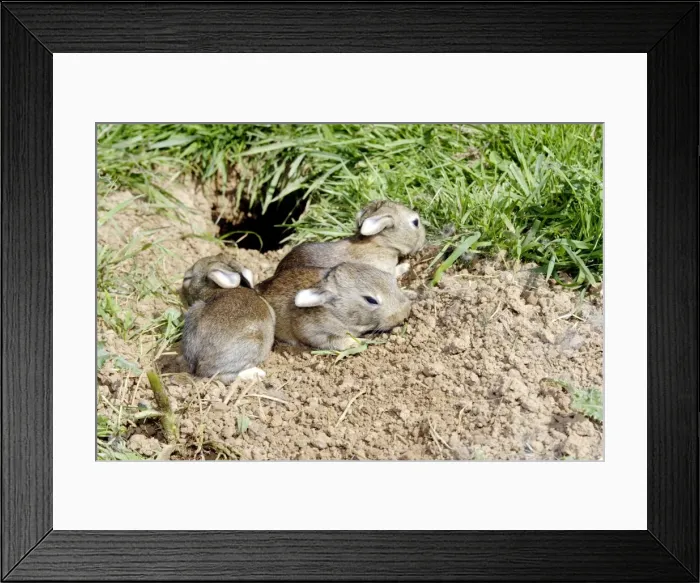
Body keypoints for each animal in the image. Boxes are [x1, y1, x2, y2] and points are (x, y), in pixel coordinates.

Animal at [257, 262, 412, 351]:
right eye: (371, 300)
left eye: (390, 279)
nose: (404, 314)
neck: (338, 313)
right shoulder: (313, 333)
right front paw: (360, 342)